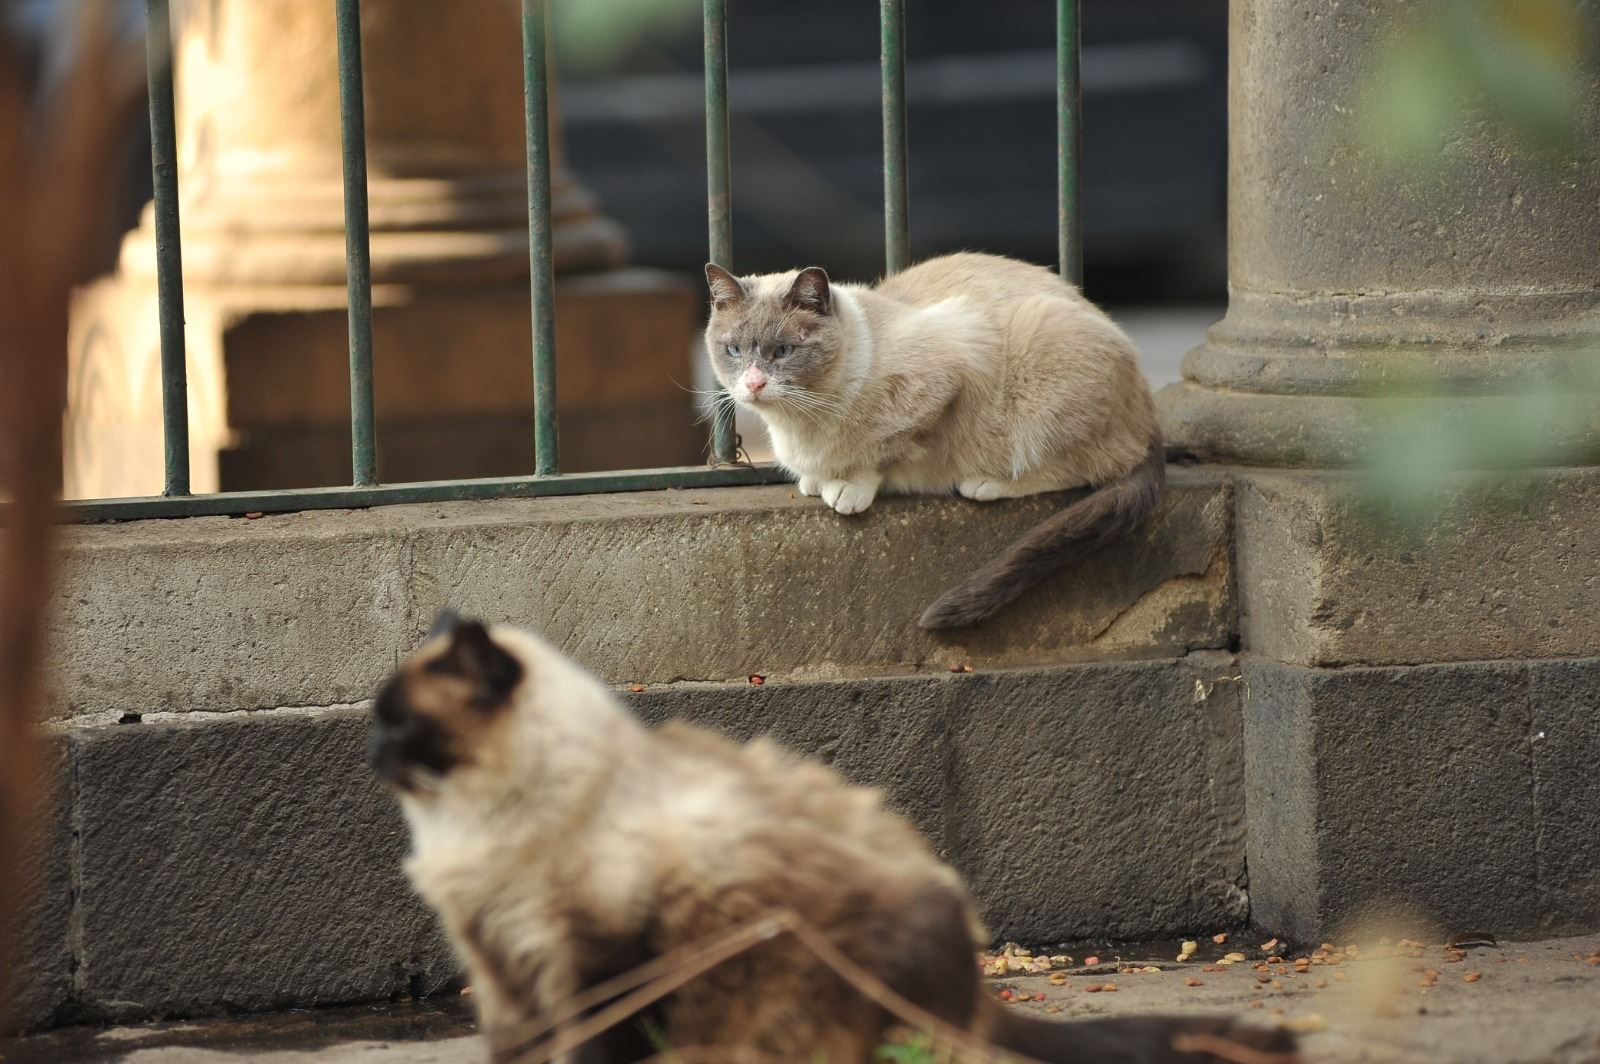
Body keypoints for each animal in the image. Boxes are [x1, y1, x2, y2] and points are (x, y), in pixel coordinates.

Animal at [704, 252, 1164, 627]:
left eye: (783, 351)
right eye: (734, 351)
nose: (753, 384)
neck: (801, 421)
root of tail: (1149, 415)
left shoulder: (950, 369)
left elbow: (881, 454)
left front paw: (847, 488)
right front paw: (815, 483)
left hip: (1042, 352)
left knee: (1083, 469)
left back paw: (985, 483)